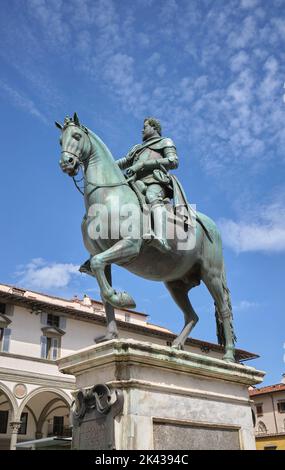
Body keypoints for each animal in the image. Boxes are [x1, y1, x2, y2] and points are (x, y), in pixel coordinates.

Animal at [56, 112, 235, 362]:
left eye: (76, 136)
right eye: (60, 141)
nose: (67, 164)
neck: (108, 197)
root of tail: (214, 228)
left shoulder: (129, 247)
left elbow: (100, 270)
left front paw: (124, 299)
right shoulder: (101, 256)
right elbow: (102, 289)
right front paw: (111, 335)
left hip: (212, 275)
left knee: (223, 309)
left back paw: (228, 356)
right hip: (176, 283)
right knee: (192, 315)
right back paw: (176, 346)